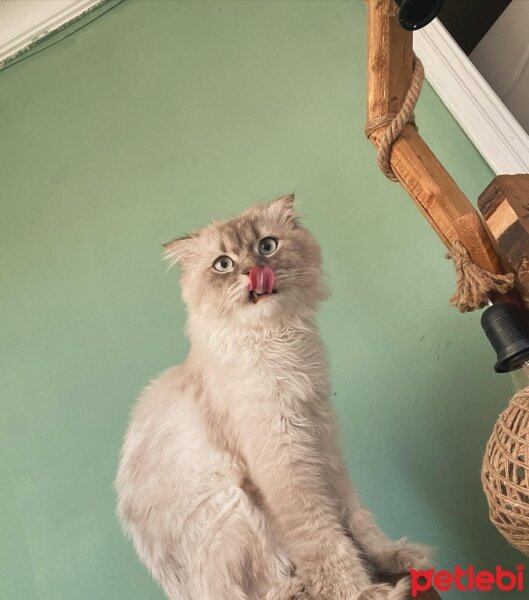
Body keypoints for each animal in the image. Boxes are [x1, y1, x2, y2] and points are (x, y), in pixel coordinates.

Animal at [114, 197, 428, 600]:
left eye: (267, 246)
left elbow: (357, 520)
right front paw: (360, 591)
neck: (278, 342)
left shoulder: (322, 440)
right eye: (223, 264)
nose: (255, 271)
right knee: (257, 591)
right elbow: (325, 540)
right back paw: (297, 587)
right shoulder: (283, 461)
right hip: (233, 504)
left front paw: (393, 560)